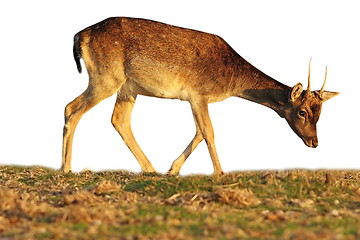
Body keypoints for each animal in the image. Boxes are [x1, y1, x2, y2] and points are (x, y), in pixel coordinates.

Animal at [60, 16, 338, 174]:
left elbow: (198, 132)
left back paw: (151, 169)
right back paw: (65, 167)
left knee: (119, 120)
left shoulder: (195, 99)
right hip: (106, 77)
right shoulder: (198, 94)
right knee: (71, 108)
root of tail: (79, 36)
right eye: (302, 112)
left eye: (321, 113)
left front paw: (173, 169)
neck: (231, 80)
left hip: (128, 88)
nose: (314, 142)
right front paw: (219, 173)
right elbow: (208, 132)